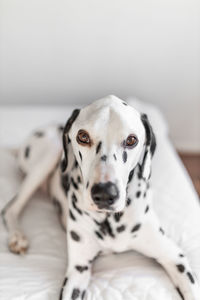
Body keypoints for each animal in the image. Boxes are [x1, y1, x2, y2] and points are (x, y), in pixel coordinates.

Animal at [1, 95, 200, 300]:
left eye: (131, 140)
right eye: (83, 137)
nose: (105, 194)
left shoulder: (176, 258)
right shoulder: (78, 270)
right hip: (50, 153)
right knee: (10, 208)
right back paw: (18, 238)